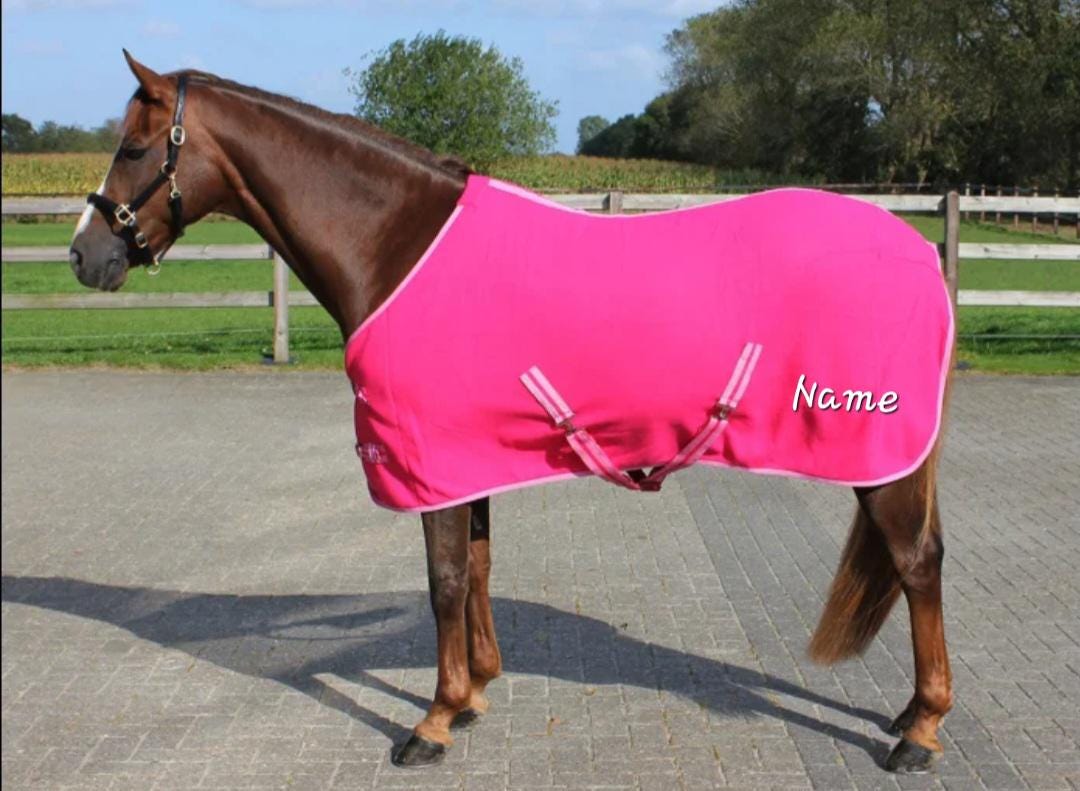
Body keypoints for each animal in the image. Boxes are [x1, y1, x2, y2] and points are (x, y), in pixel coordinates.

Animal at [68, 52, 954, 774]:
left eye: (134, 148)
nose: (84, 255)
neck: (398, 242)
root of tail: (918, 251)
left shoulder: (427, 459)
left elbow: (444, 581)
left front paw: (431, 721)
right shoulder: (467, 458)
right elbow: (480, 567)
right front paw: (472, 694)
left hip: (881, 455)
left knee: (917, 563)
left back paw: (920, 731)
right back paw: (911, 713)